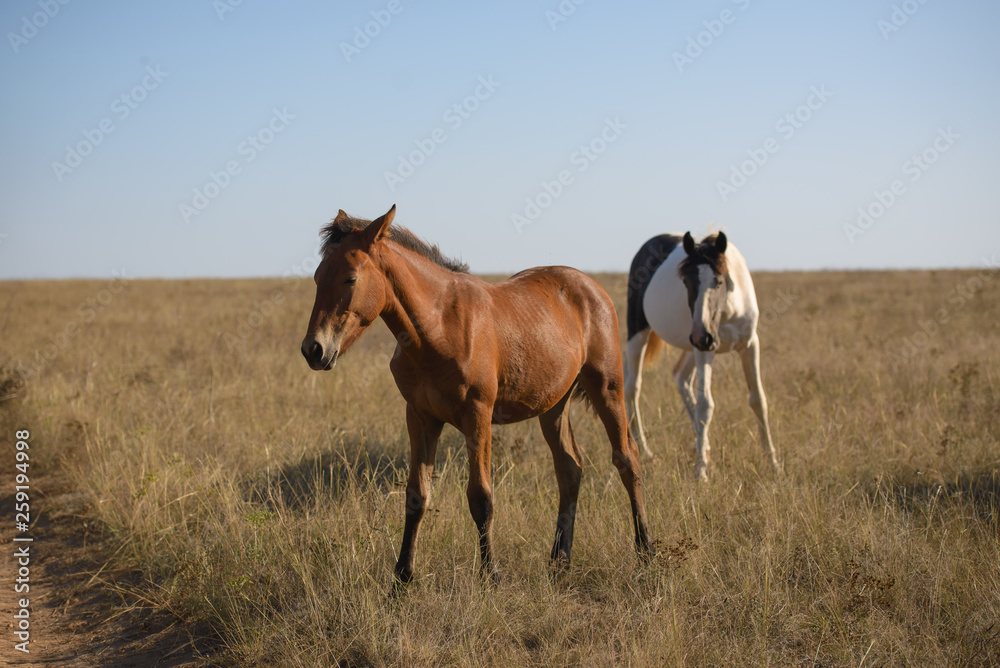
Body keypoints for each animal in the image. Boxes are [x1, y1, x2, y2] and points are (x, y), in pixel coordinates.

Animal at [300, 206, 652, 588]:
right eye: (317, 277)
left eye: (350, 279)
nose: (314, 350)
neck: (438, 329)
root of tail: (591, 287)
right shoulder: (420, 417)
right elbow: (416, 496)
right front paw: (402, 579)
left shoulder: (478, 415)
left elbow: (481, 498)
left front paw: (491, 574)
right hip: (553, 406)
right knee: (570, 469)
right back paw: (559, 561)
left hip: (607, 388)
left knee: (627, 460)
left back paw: (645, 551)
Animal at [624, 231, 780, 480]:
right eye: (686, 281)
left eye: (719, 281)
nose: (701, 335)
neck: (728, 311)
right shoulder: (704, 351)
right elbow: (705, 406)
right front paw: (701, 471)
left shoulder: (749, 345)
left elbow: (758, 400)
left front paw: (772, 462)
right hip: (639, 332)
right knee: (632, 387)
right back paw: (646, 450)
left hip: (692, 349)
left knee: (680, 377)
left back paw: (702, 443)